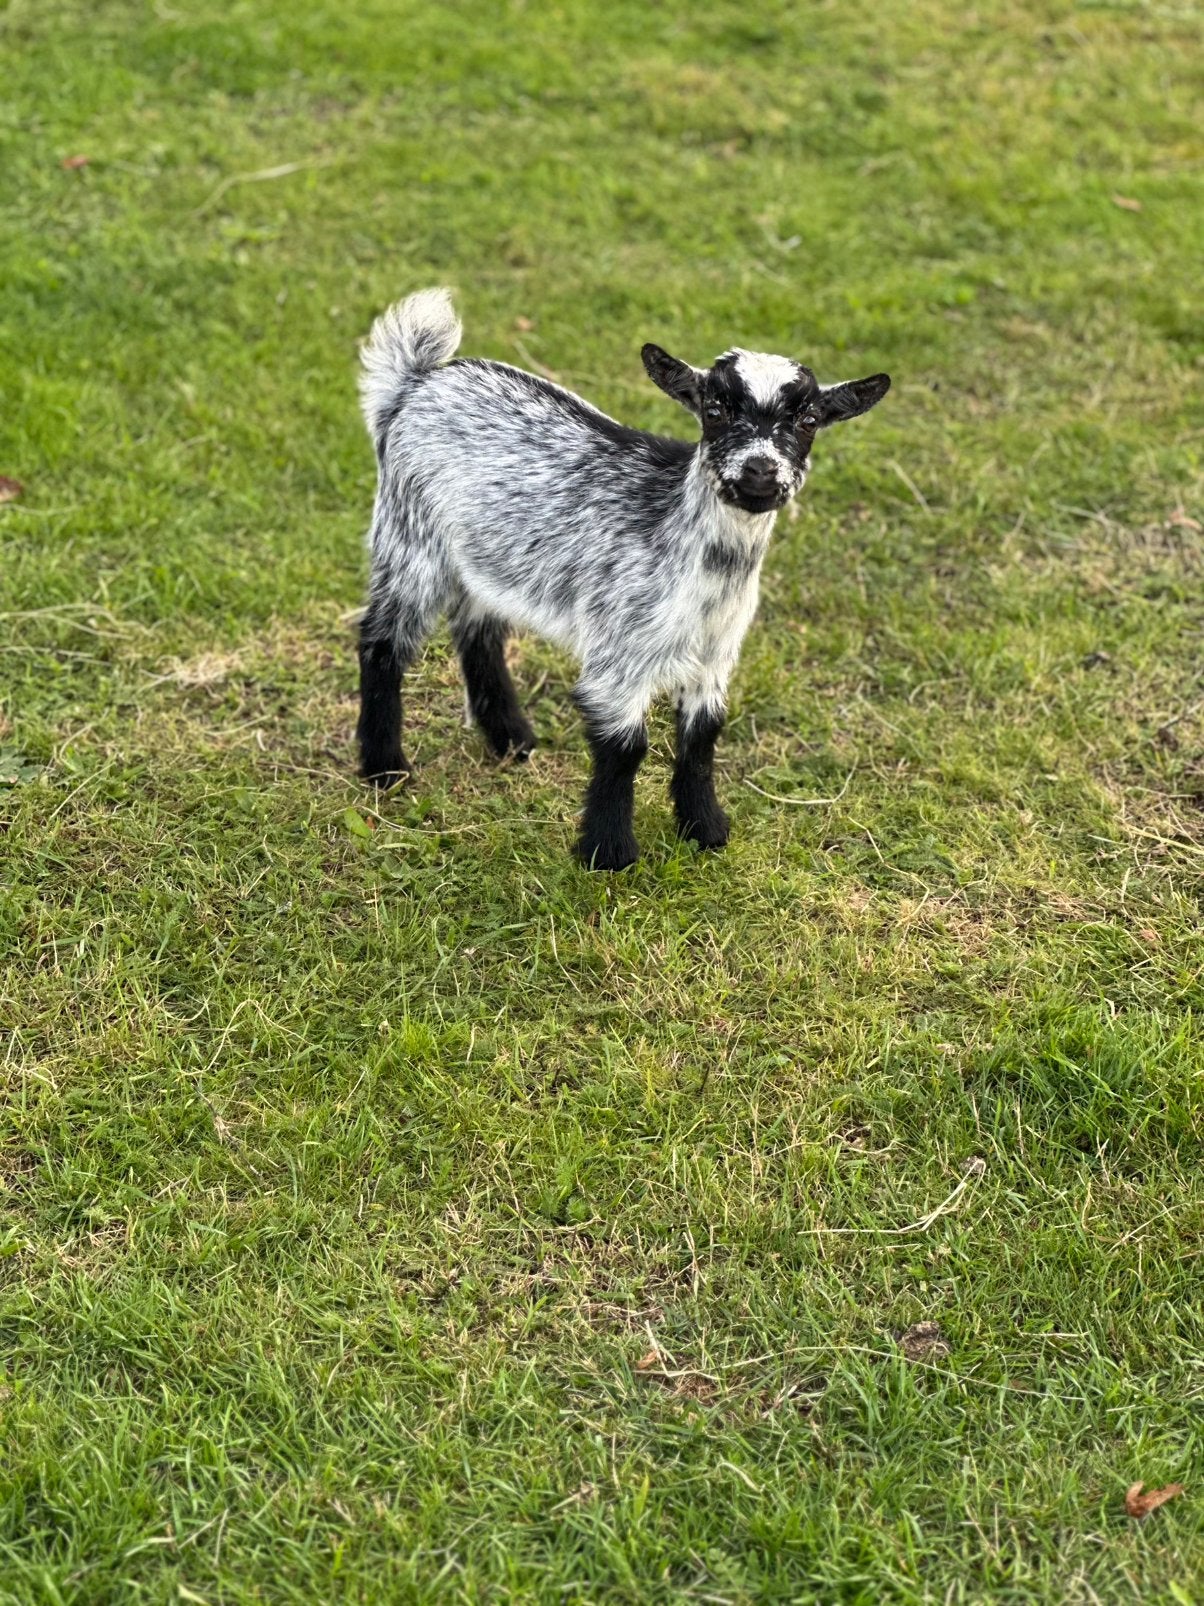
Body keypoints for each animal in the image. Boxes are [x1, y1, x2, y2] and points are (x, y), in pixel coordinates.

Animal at [355, 288, 889, 870]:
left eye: (809, 420)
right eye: (714, 410)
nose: (760, 472)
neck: (708, 572)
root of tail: (417, 382)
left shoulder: (715, 656)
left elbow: (703, 737)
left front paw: (704, 828)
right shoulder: (620, 653)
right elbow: (625, 747)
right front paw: (608, 851)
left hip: (487, 557)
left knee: (478, 632)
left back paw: (512, 739)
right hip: (410, 538)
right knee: (382, 642)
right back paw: (385, 768)